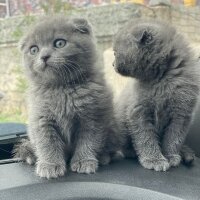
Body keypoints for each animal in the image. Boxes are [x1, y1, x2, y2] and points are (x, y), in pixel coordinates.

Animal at [13, 16, 122, 178]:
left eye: (59, 43)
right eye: (34, 49)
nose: (44, 56)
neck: (61, 89)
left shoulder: (93, 117)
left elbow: (88, 140)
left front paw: (84, 161)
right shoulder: (41, 119)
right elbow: (47, 143)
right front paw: (50, 165)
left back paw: (103, 157)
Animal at [113, 19, 199, 171]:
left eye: (115, 53)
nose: (112, 64)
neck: (161, 80)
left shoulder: (182, 114)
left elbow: (174, 137)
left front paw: (170, 156)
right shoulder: (138, 111)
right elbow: (145, 137)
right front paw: (154, 160)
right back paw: (130, 151)